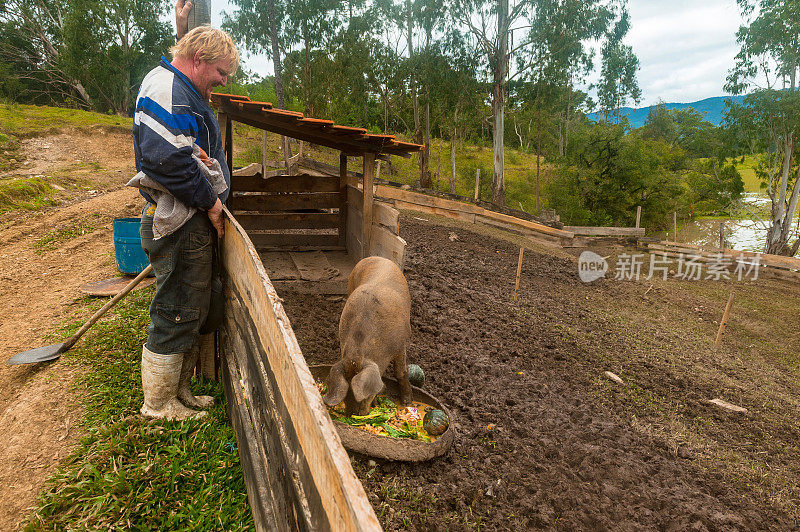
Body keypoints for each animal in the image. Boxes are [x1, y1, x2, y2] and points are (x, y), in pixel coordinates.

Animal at [324, 256, 412, 416]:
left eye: (365, 395)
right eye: (346, 395)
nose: (352, 415)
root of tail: (378, 257)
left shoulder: (400, 344)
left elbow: (400, 371)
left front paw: (406, 403)